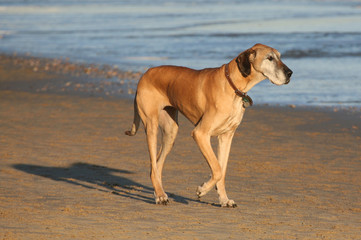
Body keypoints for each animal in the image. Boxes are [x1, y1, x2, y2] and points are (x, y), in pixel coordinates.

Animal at [125, 44, 292, 207]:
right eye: (269, 58)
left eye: (280, 57)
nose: (290, 73)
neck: (233, 85)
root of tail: (145, 74)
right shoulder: (200, 134)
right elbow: (217, 169)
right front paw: (202, 189)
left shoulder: (226, 137)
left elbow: (222, 171)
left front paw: (224, 199)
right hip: (151, 127)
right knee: (153, 165)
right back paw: (160, 196)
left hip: (170, 132)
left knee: (157, 165)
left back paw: (159, 192)